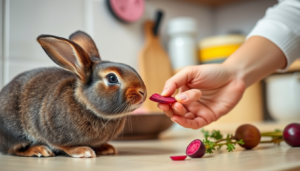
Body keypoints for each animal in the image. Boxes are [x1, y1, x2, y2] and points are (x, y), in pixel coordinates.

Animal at [0, 30, 146, 158]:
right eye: (112, 78)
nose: (143, 92)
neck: (87, 106)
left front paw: (106, 148)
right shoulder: (52, 132)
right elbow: (64, 145)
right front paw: (83, 151)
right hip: (14, 132)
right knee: (14, 149)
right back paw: (39, 150)